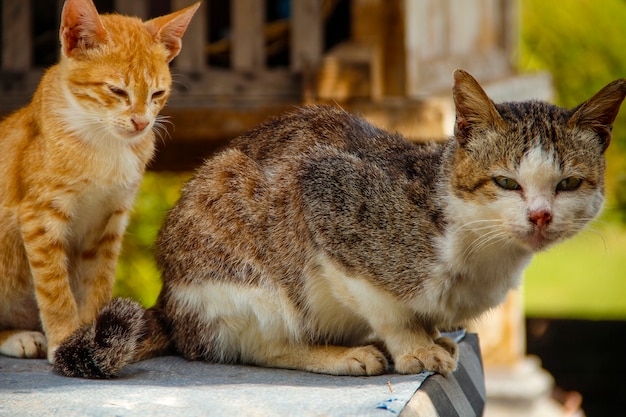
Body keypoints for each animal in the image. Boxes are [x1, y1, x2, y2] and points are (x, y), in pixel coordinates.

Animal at [0, 0, 197, 360]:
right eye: (117, 90)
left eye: (157, 93)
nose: (141, 123)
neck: (104, 145)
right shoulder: (39, 216)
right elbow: (54, 288)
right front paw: (64, 338)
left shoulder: (109, 222)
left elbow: (100, 282)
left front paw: (96, 340)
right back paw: (18, 337)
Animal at [54, 70, 624, 376]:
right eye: (506, 182)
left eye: (568, 184)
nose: (540, 215)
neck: (482, 253)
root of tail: (170, 304)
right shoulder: (324, 192)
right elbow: (385, 306)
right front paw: (413, 346)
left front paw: (432, 336)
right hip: (245, 279)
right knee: (256, 344)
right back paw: (341, 353)